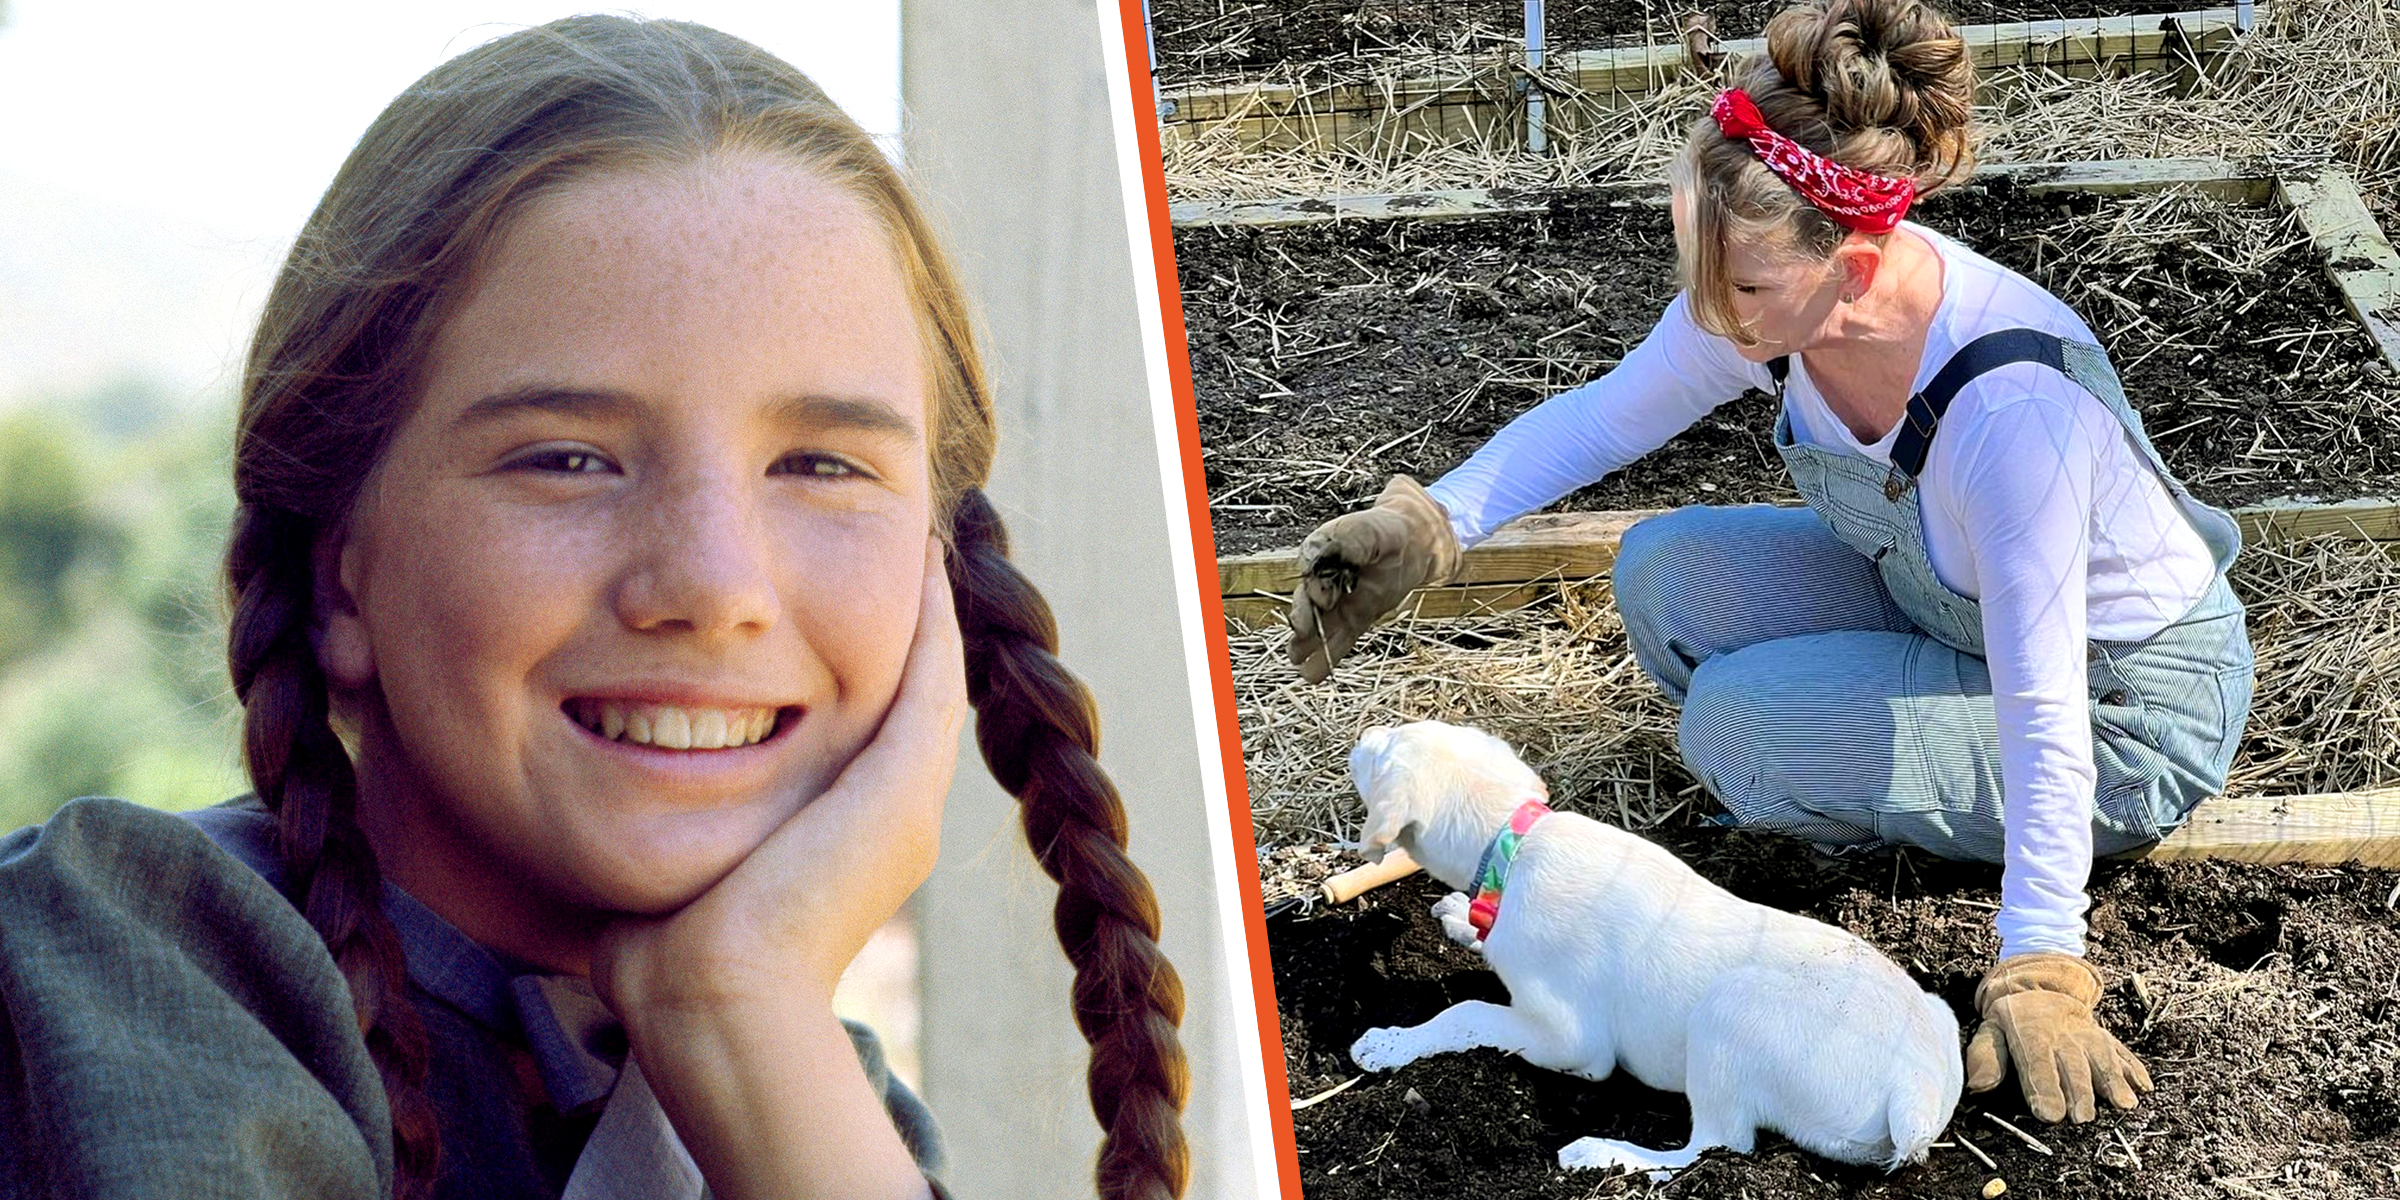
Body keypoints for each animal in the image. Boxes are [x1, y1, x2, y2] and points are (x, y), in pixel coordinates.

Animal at [1344, 715, 1958, 1176]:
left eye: (1381, 755)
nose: (1363, 734)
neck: (1512, 848)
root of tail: (1918, 1092)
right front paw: (1457, 916)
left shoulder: (1576, 1043)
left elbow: (1467, 1011)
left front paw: (1390, 1043)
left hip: (1727, 1016)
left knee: (1713, 1146)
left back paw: (1602, 1153)